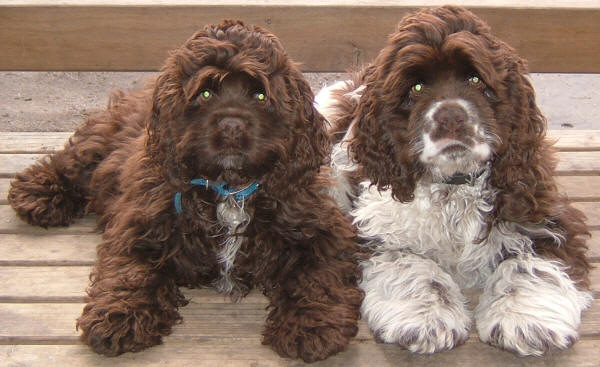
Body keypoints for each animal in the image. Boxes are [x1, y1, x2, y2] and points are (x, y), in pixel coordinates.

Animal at [318, 5, 592, 356]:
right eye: (416, 89)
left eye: (476, 79)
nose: (450, 117)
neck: (454, 184)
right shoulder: (374, 230)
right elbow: (410, 264)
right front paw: (427, 318)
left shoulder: (543, 211)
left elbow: (530, 263)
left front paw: (525, 320)